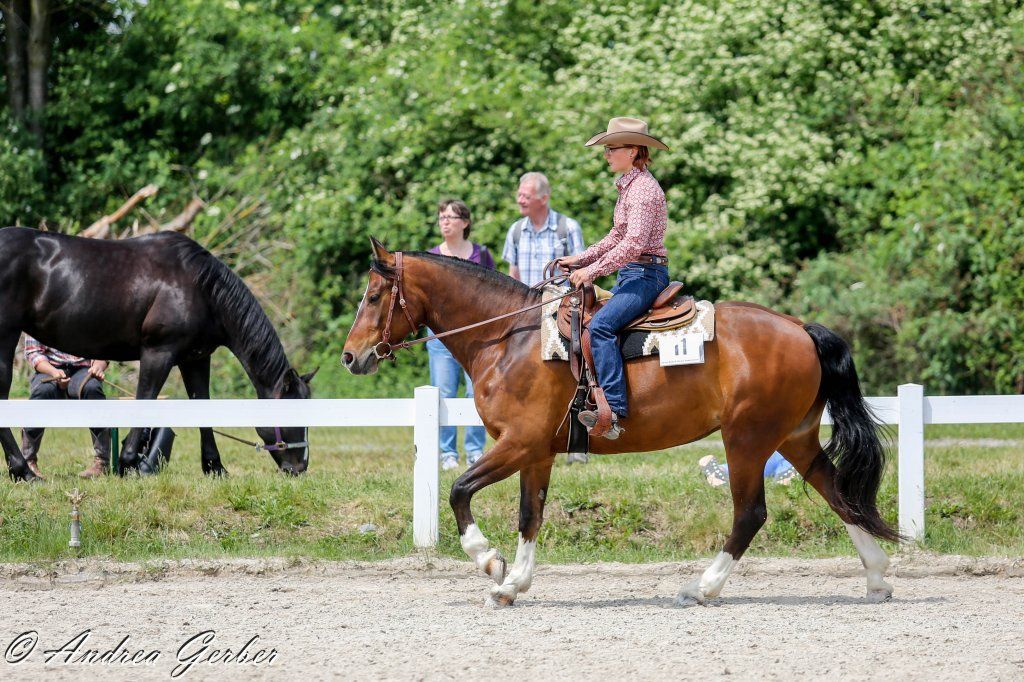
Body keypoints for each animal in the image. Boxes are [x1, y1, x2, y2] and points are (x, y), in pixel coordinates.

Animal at [0, 227, 315, 481]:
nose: (300, 468)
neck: (199, 287)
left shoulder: (195, 359)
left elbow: (202, 407)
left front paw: (215, 467)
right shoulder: (158, 353)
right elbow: (145, 399)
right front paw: (129, 463)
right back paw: (24, 472)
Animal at [342, 238, 901, 607]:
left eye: (373, 296)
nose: (351, 357)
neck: (508, 338)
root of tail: (801, 329)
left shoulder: (518, 444)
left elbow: (459, 490)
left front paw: (489, 562)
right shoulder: (536, 452)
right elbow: (530, 516)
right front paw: (513, 583)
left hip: (747, 440)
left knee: (750, 514)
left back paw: (703, 587)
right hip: (794, 438)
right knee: (839, 494)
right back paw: (876, 579)